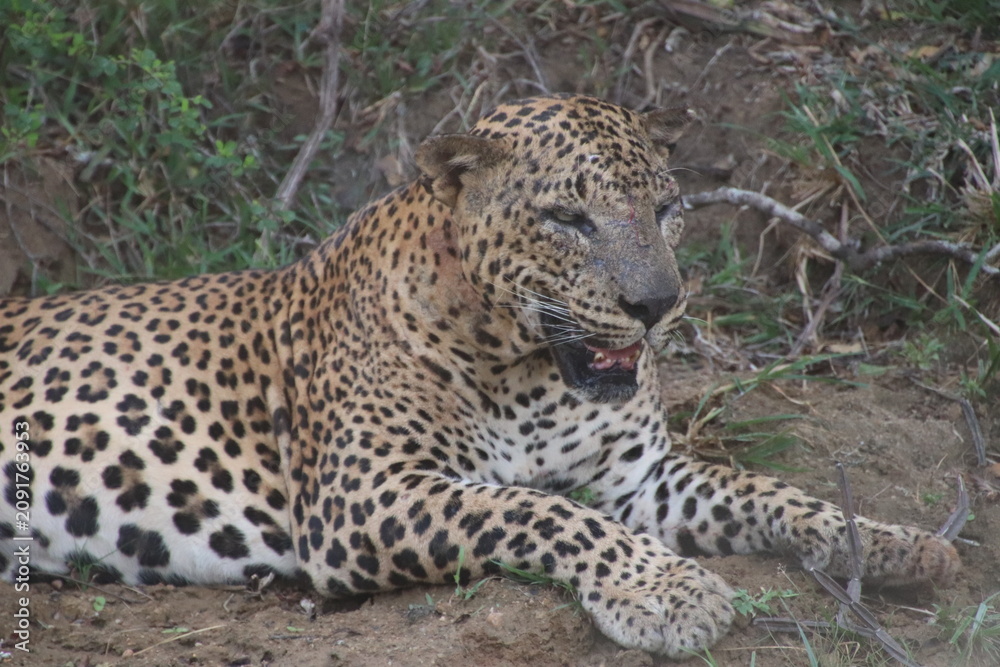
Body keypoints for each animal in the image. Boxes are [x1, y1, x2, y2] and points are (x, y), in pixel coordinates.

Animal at [0, 94, 960, 659]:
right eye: (568, 218)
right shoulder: (365, 494)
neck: (530, 371)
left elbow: (765, 488)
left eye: (666, 207)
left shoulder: (642, 476)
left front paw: (893, 540)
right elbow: (538, 509)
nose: (658, 305)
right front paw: (668, 589)